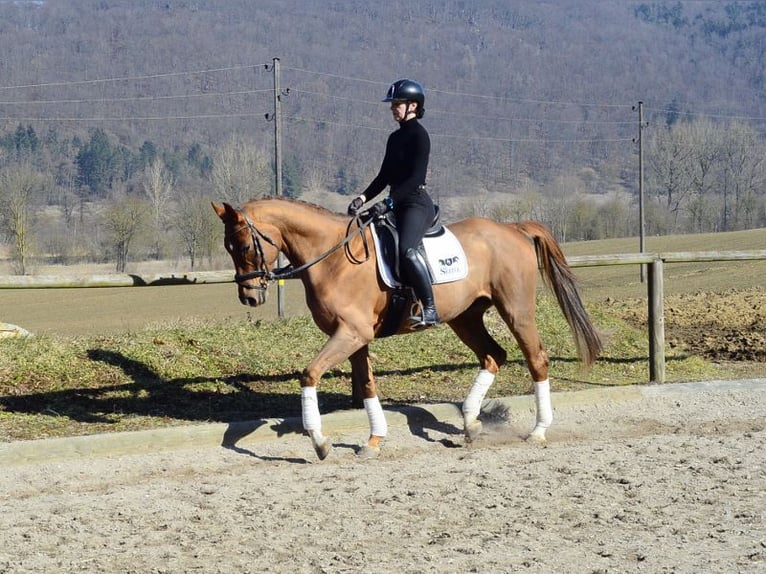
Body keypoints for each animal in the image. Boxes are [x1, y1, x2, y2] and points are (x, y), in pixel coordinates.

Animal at [213, 200, 604, 462]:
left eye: (244, 245)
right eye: (227, 247)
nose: (249, 297)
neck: (334, 258)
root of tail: (513, 229)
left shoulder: (350, 334)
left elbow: (309, 374)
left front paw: (319, 442)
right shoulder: (355, 337)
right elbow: (367, 385)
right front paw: (374, 440)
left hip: (516, 310)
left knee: (536, 359)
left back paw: (538, 431)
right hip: (465, 317)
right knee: (494, 355)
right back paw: (471, 424)